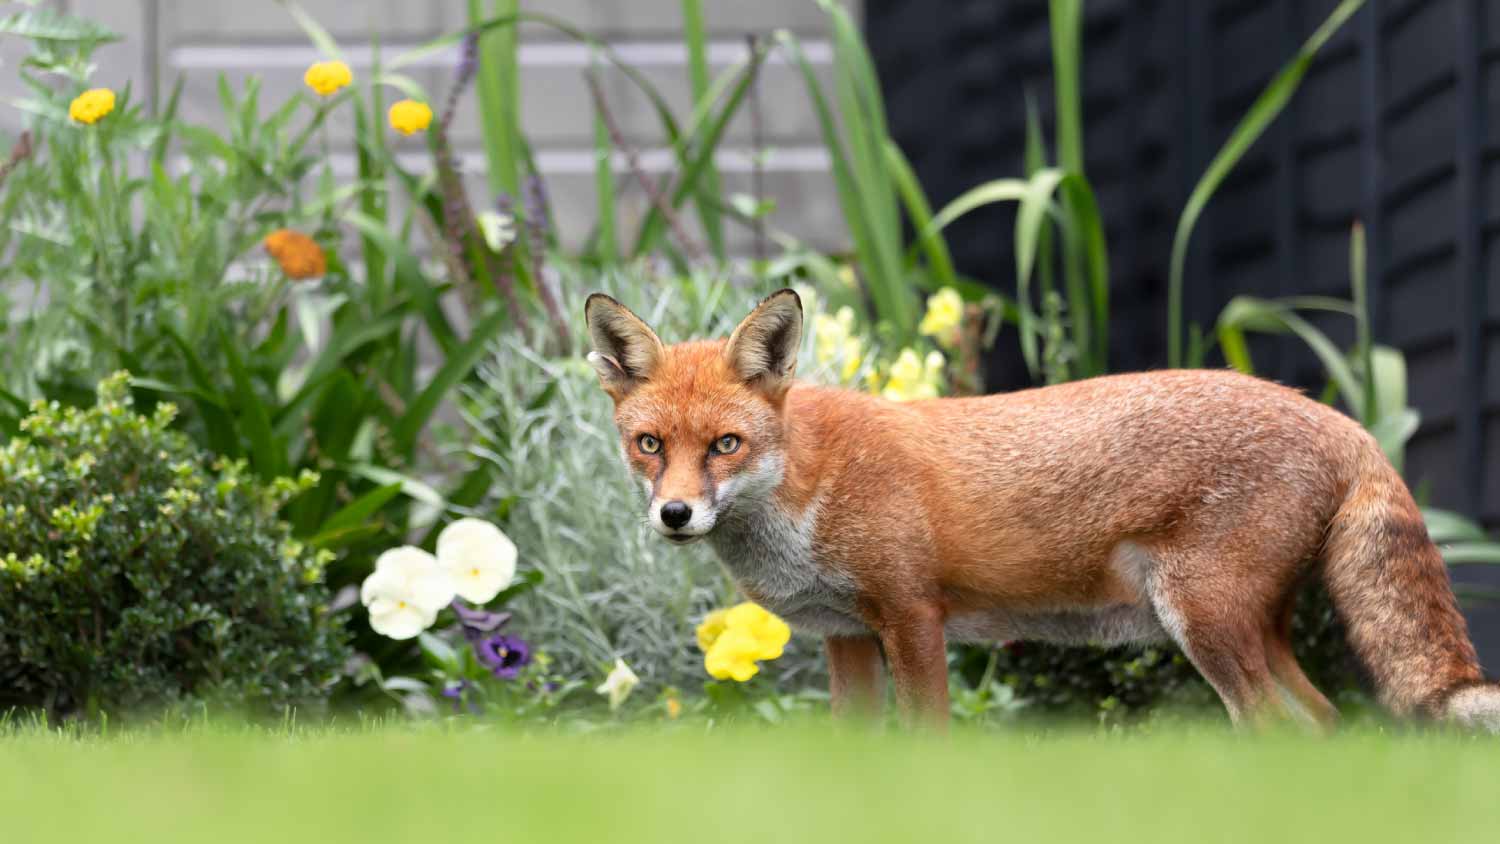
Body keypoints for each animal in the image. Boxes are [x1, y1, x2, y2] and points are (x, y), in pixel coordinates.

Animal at [584, 287, 1500, 731]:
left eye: (726, 445)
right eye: (650, 444)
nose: (675, 515)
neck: (807, 489)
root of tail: (1340, 418)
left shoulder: (912, 617)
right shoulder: (848, 638)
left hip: (1205, 622)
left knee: (1283, 728)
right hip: (1249, 632)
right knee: (1324, 723)